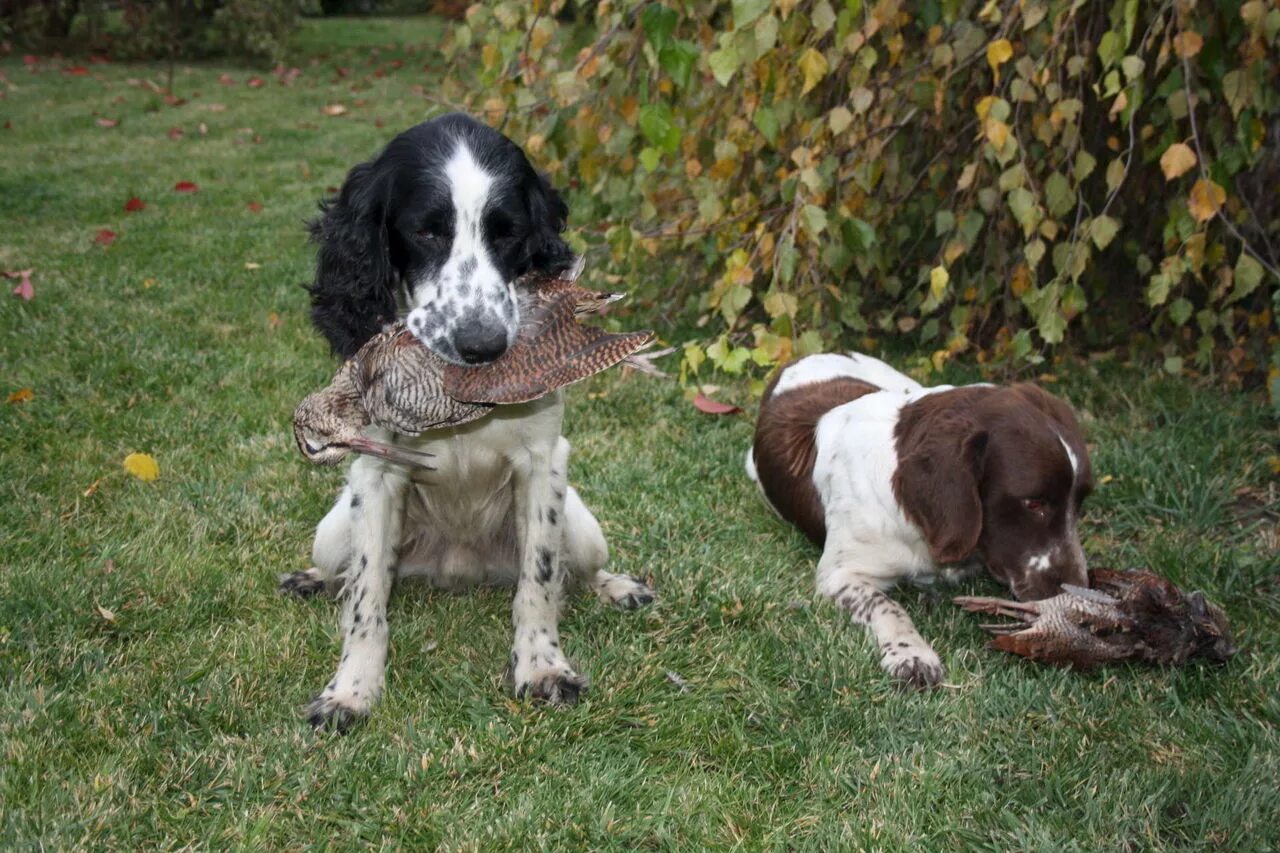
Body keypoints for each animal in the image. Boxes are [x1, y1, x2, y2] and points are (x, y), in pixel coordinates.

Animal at [284, 109, 655, 727]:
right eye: (427, 232)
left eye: (508, 233)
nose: (484, 347)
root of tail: (457, 570)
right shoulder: (375, 473)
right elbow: (365, 599)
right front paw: (352, 689)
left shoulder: (544, 463)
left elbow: (539, 581)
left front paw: (542, 667)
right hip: (332, 532)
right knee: (346, 574)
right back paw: (312, 580)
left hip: (582, 527)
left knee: (575, 573)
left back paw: (619, 587)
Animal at [747, 350, 1095, 686]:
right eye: (1033, 503)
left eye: (1079, 501)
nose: (1076, 591)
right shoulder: (840, 574)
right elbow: (886, 606)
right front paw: (911, 654)